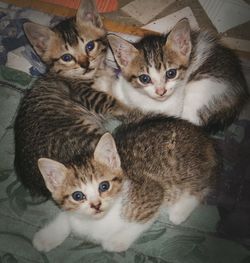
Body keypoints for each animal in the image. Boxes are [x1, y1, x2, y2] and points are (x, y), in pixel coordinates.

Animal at [32, 115, 220, 254]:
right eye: (78, 196)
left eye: (104, 186)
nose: (96, 205)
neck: (99, 222)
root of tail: (201, 134)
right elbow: (67, 216)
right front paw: (47, 236)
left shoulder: (152, 192)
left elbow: (138, 222)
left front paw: (117, 241)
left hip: (186, 169)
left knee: (204, 186)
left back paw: (179, 211)